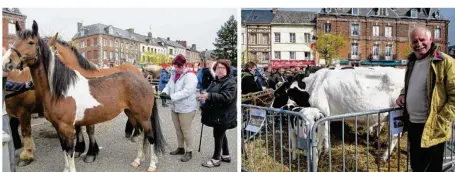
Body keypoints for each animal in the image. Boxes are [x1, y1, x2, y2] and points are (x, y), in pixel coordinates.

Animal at [2, 20, 167, 172]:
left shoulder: (67, 127)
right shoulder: (59, 127)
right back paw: (138, 160)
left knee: (151, 136)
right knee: (140, 134)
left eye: (30, 42)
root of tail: (143, 79)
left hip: (143, 116)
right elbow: (64, 150)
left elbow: (70, 150)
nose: (7, 62)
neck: (61, 90)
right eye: (15, 41)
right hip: (132, 113)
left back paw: (152, 164)